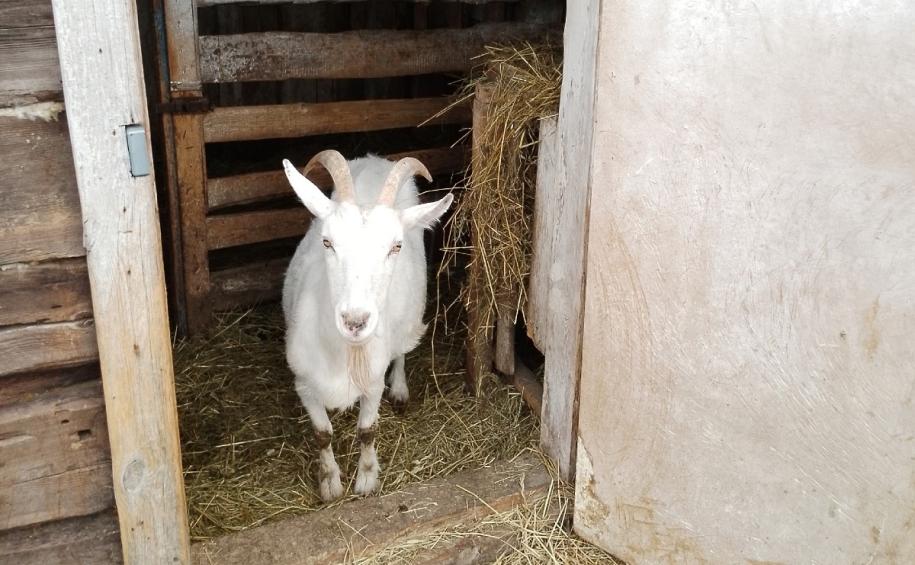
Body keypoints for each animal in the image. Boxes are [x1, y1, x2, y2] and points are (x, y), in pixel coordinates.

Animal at [281, 150, 453, 500]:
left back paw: (399, 389)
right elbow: (322, 433)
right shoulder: (304, 383)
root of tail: (376, 160)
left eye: (395, 246)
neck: (344, 353)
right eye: (327, 242)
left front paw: (366, 479)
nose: (355, 320)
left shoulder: (372, 382)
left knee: (401, 351)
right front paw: (330, 483)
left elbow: (367, 430)